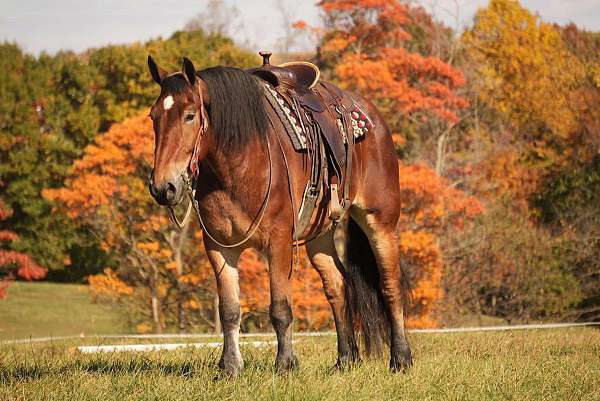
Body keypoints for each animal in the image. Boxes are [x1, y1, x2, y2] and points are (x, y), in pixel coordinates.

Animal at [145, 55, 412, 372]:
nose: (162, 187)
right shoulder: (219, 247)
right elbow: (229, 310)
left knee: (390, 286)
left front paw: (285, 363)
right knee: (337, 284)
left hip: (380, 222)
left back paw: (401, 358)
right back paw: (346, 359)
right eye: (153, 116)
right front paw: (230, 366)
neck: (239, 164)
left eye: (189, 116)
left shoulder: (279, 241)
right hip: (319, 235)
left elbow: (280, 308)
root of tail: (372, 117)